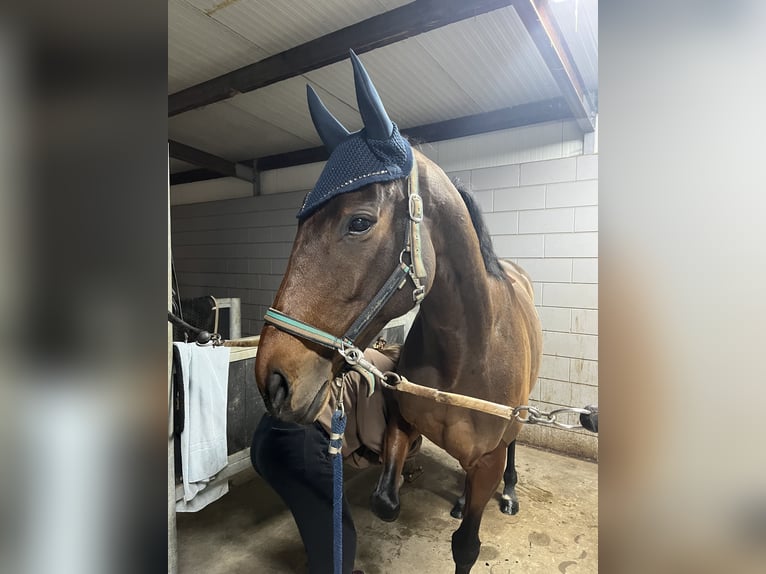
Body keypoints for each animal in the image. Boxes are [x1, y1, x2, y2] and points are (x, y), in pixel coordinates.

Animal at [254, 51, 542, 574]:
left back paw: (508, 493)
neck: (465, 354)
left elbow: (466, 546)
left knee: (513, 445)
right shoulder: (401, 423)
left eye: (359, 222)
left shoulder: (488, 459)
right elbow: (385, 502)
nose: (274, 381)